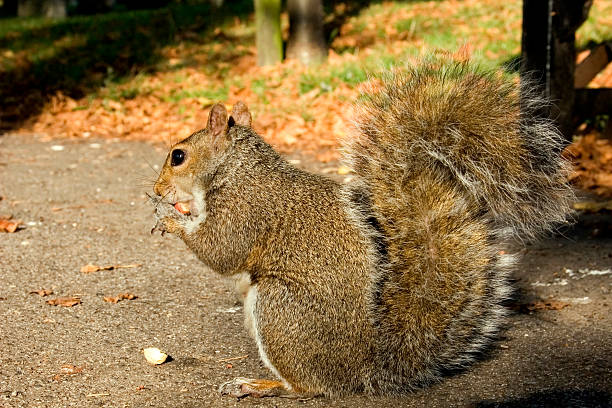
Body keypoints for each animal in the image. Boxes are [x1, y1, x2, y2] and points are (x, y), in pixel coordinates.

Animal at [149, 58, 572, 398]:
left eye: (178, 156)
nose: (156, 189)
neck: (237, 170)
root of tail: (363, 369)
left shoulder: (245, 210)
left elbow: (222, 250)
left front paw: (172, 219)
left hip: (280, 310)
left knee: (309, 387)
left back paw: (260, 385)